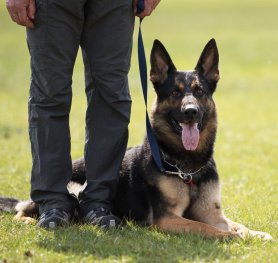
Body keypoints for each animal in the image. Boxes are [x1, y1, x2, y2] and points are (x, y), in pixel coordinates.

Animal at [0, 39, 272, 241]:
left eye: (199, 91)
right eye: (175, 93)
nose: (191, 112)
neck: (187, 166)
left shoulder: (212, 213)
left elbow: (236, 224)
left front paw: (256, 234)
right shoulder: (167, 218)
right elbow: (205, 228)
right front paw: (229, 237)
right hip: (73, 193)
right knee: (23, 212)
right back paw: (31, 220)